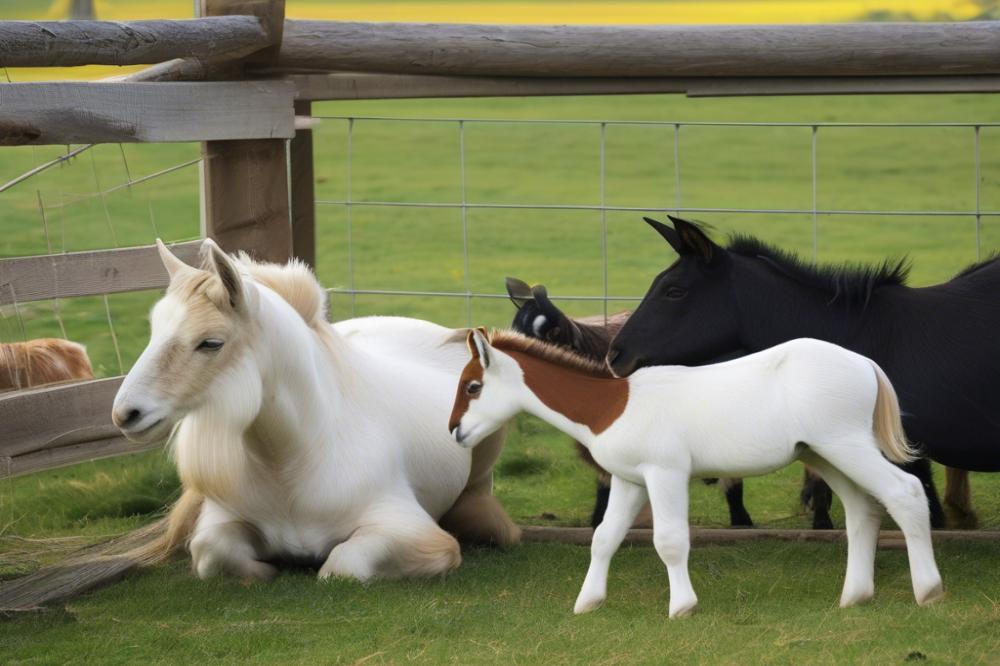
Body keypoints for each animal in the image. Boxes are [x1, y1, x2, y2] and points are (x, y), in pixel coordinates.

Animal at [450, 328, 940, 616]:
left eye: (473, 386)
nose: (454, 431)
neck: (615, 405)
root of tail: (864, 363)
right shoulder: (630, 481)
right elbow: (604, 537)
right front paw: (587, 602)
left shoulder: (665, 474)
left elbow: (669, 541)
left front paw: (682, 607)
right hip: (823, 455)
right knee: (862, 510)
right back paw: (854, 596)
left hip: (846, 446)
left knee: (906, 493)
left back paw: (928, 591)